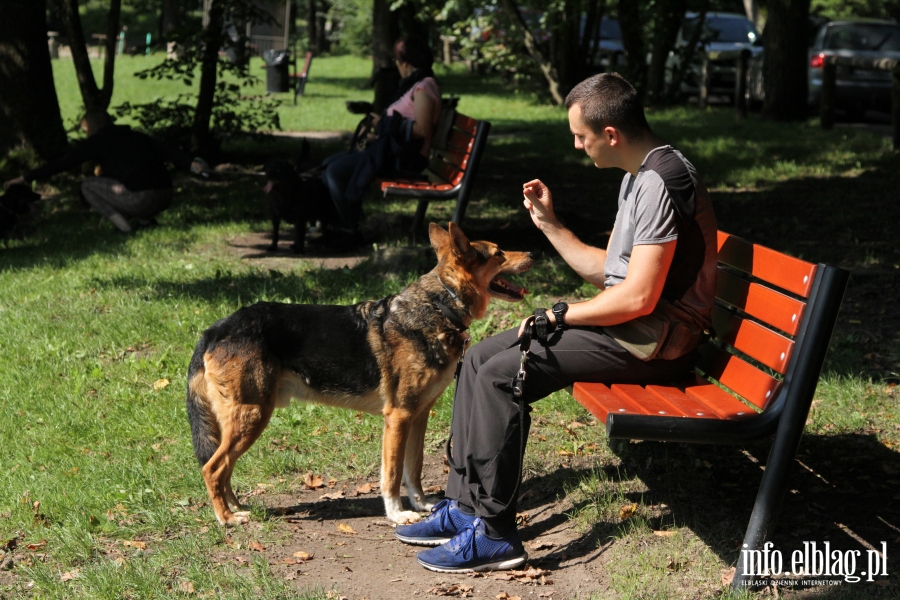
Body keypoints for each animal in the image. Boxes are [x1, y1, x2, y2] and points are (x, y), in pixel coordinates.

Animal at [185, 223, 532, 524]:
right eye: (499, 252)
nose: (532, 253)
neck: (439, 306)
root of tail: (214, 330)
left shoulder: (418, 416)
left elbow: (414, 469)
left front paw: (422, 504)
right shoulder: (398, 417)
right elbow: (392, 475)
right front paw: (397, 515)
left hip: (242, 421)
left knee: (223, 469)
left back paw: (238, 508)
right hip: (252, 416)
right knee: (213, 469)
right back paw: (227, 519)